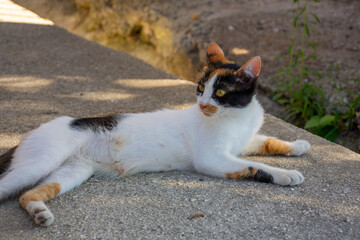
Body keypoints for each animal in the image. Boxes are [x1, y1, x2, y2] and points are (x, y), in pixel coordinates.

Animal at [0, 42, 310, 227]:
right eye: (200, 88)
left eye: (220, 93)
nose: (202, 104)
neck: (236, 117)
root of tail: (29, 135)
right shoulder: (212, 159)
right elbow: (255, 165)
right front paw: (287, 174)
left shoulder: (243, 142)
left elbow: (266, 142)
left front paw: (298, 145)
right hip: (39, 162)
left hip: (73, 171)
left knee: (27, 194)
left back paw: (39, 212)